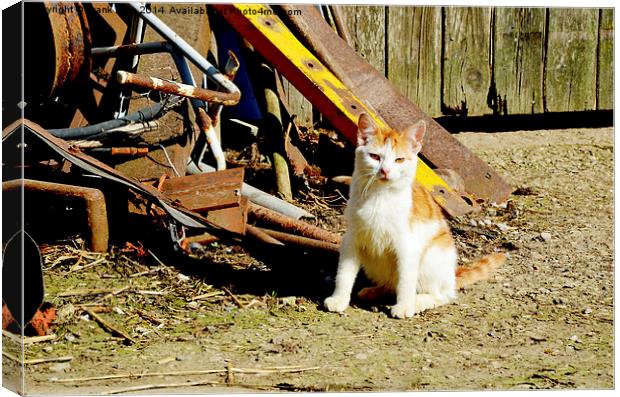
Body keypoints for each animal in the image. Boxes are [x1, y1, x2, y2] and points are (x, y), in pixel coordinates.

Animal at [324, 113, 504, 318]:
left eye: (399, 160)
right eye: (375, 157)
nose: (385, 170)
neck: (380, 196)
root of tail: (451, 277)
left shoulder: (407, 246)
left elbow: (406, 281)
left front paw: (404, 306)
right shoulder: (352, 239)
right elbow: (344, 273)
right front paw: (339, 299)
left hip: (431, 258)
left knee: (442, 295)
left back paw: (418, 301)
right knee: (391, 283)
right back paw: (374, 291)